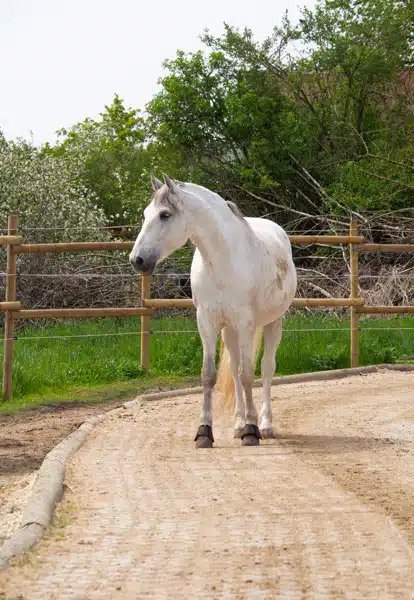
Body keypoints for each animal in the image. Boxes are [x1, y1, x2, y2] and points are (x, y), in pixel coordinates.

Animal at [131, 172, 296, 446]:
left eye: (165, 214)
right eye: (144, 214)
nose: (137, 260)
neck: (222, 261)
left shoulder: (245, 324)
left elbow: (248, 374)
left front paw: (252, 431)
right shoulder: (206, 323)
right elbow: (210, 375)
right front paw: (204, 432)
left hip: (273, 322)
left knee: (266, 369)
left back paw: (265, 425)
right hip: (229, 331)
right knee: (235, 369)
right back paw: (239, 424)